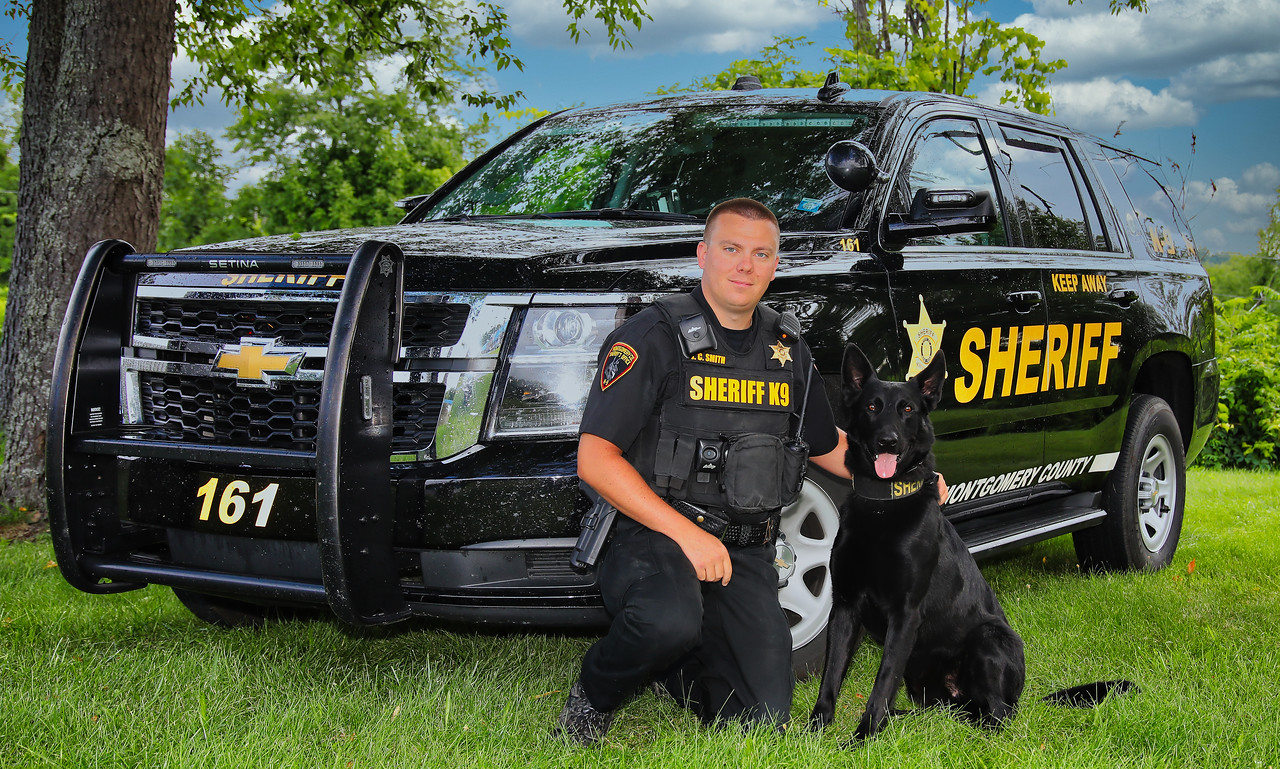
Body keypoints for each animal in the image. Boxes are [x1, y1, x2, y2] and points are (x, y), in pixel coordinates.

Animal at [808, 345, 1131, 742]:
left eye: (907, 409)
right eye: (872, 406)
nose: (888, 442)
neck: (884, 505)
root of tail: (1020, 696)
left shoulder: (905, 614)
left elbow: (881, 683)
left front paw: (862, 738)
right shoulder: (844, 608)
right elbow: (831, 676)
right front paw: (816, 730)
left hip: (988, 640)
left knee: (997, 714)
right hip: (922, 679)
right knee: (943, 710)